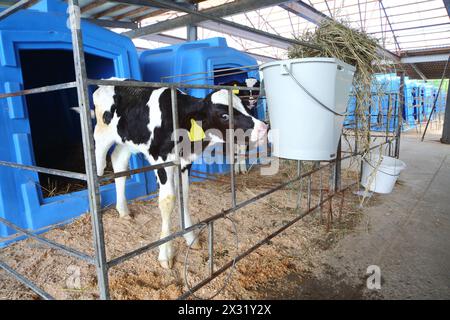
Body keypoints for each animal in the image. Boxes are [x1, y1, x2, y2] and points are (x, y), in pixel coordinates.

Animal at [91, 78, 268, 268]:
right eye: (224, 116)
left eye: (244, 106)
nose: (263, 128)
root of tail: (108, 81)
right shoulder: (162, 162)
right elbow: (168, 201)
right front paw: (165, 254)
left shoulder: (185, 163)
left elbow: (184, 195)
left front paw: (190, 238)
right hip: (101, 137)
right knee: (99, 169)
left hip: (127, 142)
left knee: (119, 163)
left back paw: (123, 210)